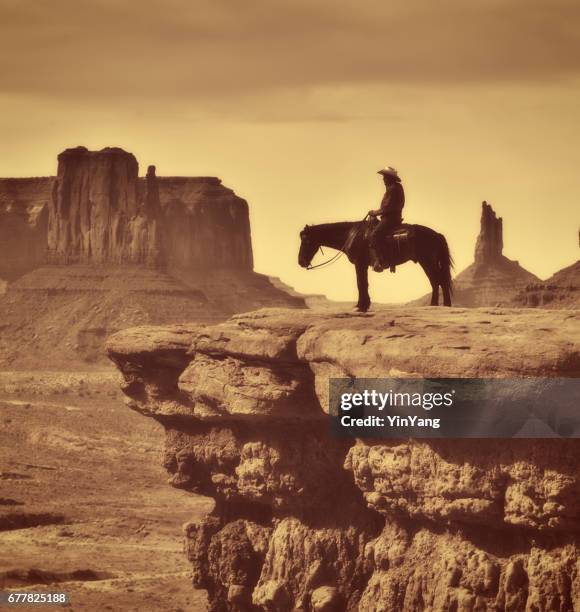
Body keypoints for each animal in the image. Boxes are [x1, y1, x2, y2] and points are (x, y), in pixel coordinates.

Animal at [300, 221, 454, 310]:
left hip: (427, 261)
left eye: (306, 240)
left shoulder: (359, 263)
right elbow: (364, 283)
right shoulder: (363, 265)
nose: (300, 261)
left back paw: (442, 304)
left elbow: (361, 283)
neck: (352, 235)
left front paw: (361, 306)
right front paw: (364, 304)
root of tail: (437, 234)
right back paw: (438, 304)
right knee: (437, 281)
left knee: (438, 280)